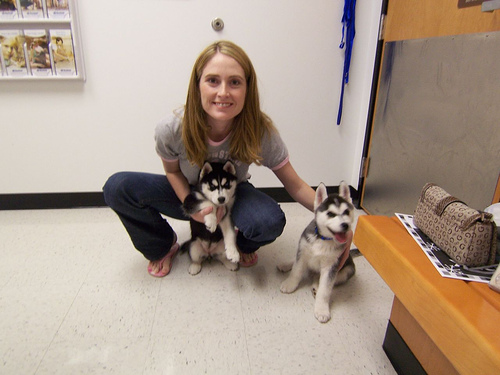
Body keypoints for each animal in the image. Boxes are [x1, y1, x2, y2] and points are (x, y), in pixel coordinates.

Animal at [278, 182, 356, 324]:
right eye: (330, 213)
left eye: (346, 212)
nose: (345, 225)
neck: (323, 239)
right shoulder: (303, 251)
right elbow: (296, 271)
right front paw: (289, 284)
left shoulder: (331, 266)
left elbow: (325, 290)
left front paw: (322, 310)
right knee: (296, 260)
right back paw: (285, 264)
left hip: (347, 271)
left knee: (321, 279)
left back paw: (316, 286)